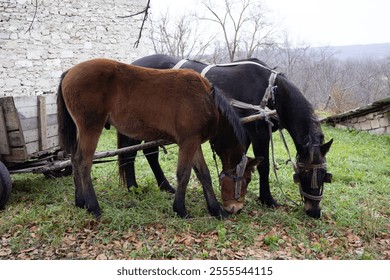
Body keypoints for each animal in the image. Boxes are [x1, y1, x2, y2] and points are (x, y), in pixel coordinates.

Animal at [57, 58, 258, 218]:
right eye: (247, 179)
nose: (236, 208)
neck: (207, 100)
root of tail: (69, 72)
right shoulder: (188, 142)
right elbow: (184, 174)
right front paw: (180, 209)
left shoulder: (194, 143)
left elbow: (204, 174)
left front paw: (216, 210)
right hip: (91, 127)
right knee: (83, 162)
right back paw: (93, 206)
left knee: (74, 160)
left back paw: (80, 201)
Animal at [119, 54, 332, 219]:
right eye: (304, 174)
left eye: (324, 175)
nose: (314, 212)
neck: (274, 92)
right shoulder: (258, 132)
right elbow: (263, 167)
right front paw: (267, 199)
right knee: (130, 153)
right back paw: (133, 187)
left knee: (149, 153)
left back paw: (164, 186)